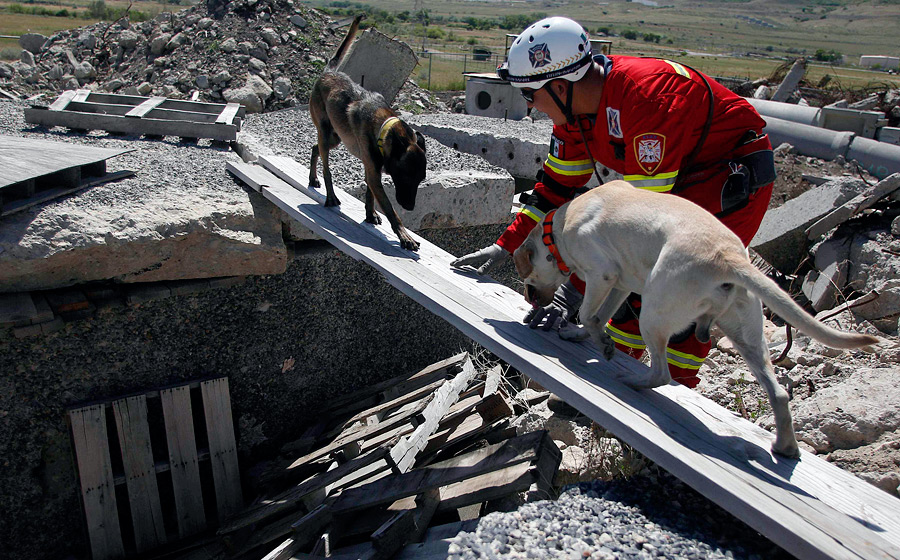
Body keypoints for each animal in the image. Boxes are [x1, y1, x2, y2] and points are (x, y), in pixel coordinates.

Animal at [308, 14, 428, 250]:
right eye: (405, 176)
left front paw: (370, 215)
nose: (410, 207)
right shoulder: (374, 173)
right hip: (327, 133)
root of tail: (328, 72)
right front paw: (404, 235)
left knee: (315, 148)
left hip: (336, 137)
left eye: (421, 179)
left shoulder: (372, 171)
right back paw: (329, 196)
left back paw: (312, 179)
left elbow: (370, 195)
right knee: (326, 165)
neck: (384, 126)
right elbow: (390, 209)